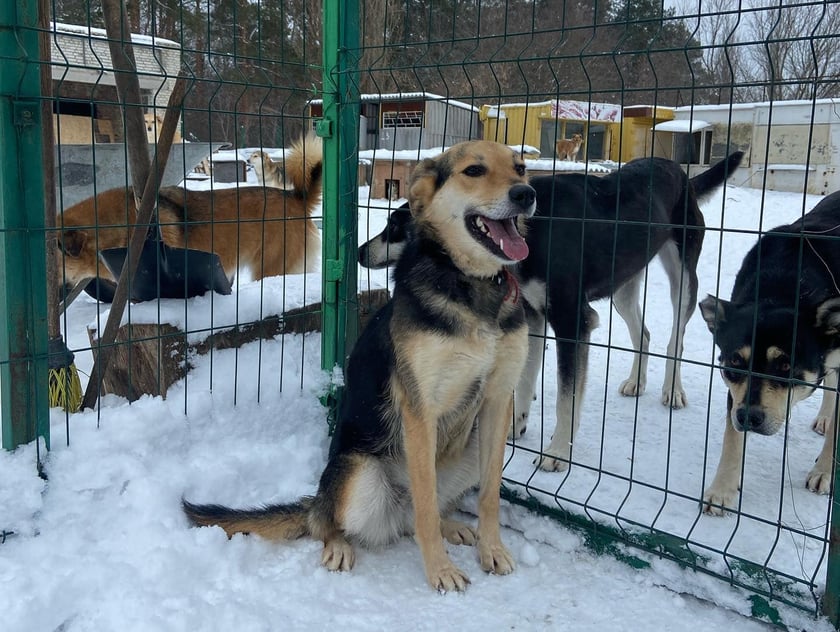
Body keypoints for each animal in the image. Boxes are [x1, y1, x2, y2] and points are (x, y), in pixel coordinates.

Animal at [185, 139, 540, 592]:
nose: (526, 194)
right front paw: (440, 570)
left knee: (418, 515)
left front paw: (491, 549)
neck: (473, 287)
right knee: (334, 523)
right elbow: (425, 505)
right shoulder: (420, 411)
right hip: (358, 474)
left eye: (521, 167)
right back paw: (338, 545)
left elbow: (489, 495)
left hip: (469, 449)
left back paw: (453, 526)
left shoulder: (497, 403)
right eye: (474, 171)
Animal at [356, 152, 740, 470]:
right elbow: (525, 378)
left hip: (684, 280)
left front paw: (557, 452)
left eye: (394, 228)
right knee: (642, 334)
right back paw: (636, 381)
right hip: (624, 287)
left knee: (676, 338)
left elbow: (567, 398)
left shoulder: (572, 322)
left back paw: (672, 390)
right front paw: (515, 425)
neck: (532, 228)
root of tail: (681, 172)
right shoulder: (532, 315)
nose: (360, 252)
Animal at [696, 191, 840, 512]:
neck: (782, 288)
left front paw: (825, 472)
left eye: (785, 366)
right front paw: (722, 489)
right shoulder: (735, 392)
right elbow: (732, 437)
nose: (749, 417)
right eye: (734, 363)